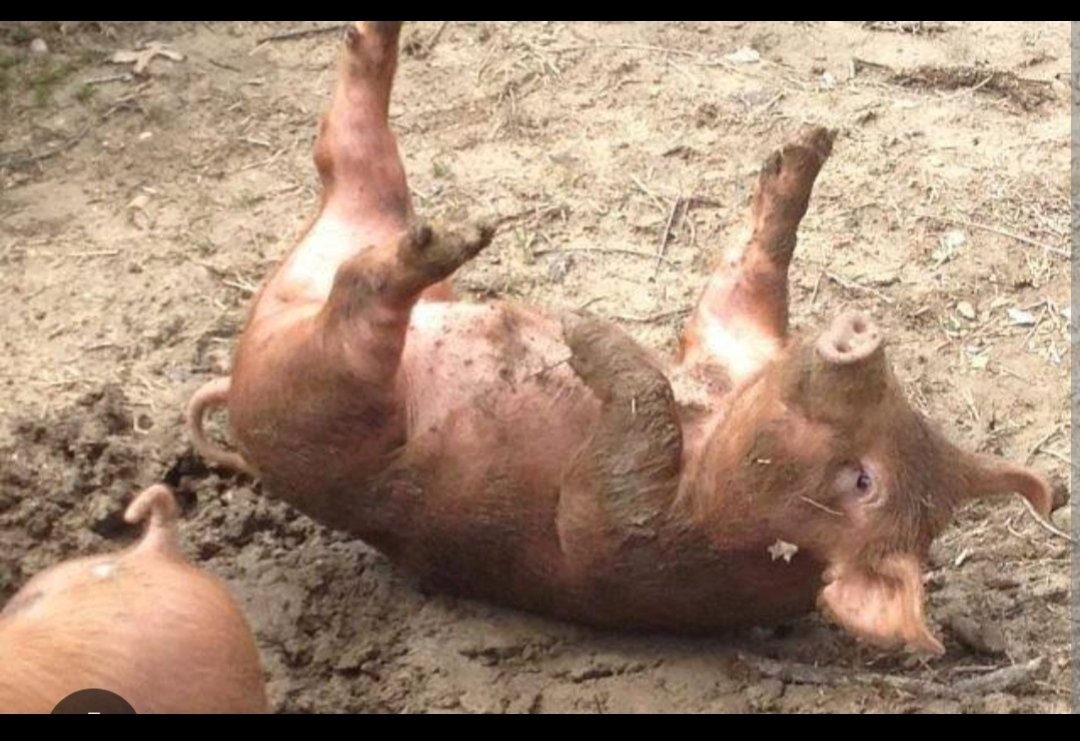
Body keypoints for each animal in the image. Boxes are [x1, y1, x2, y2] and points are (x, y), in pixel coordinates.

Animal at [187, 21, 1052, 655]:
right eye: (913, 411)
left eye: (864, 481)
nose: (865, 333)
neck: (719, 428)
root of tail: (253, 343)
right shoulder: (731, 343)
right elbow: (740, 283)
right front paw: (808, 145)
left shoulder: (629, 544)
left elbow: (614, 471)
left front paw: (580, 332)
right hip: (352, 220)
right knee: (348, 146)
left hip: (323, 397)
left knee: (360, 295)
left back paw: (458, 239)